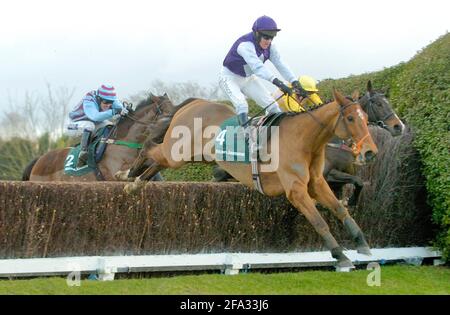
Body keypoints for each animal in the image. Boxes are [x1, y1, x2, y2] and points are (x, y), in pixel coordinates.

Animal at [121, 89, 378, 270]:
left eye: (365, 117)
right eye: (350, 118)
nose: (370, 152)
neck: (304, 139)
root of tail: (195, 103)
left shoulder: (316, 182)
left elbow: (340, 209)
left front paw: (362, 244)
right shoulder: (295, 190)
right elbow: (319, 221)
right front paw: (340, 254)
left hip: (190, 155)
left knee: (157, 161)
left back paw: (134, 183)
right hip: (178, 153)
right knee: (148, 147)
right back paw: (127, 176)